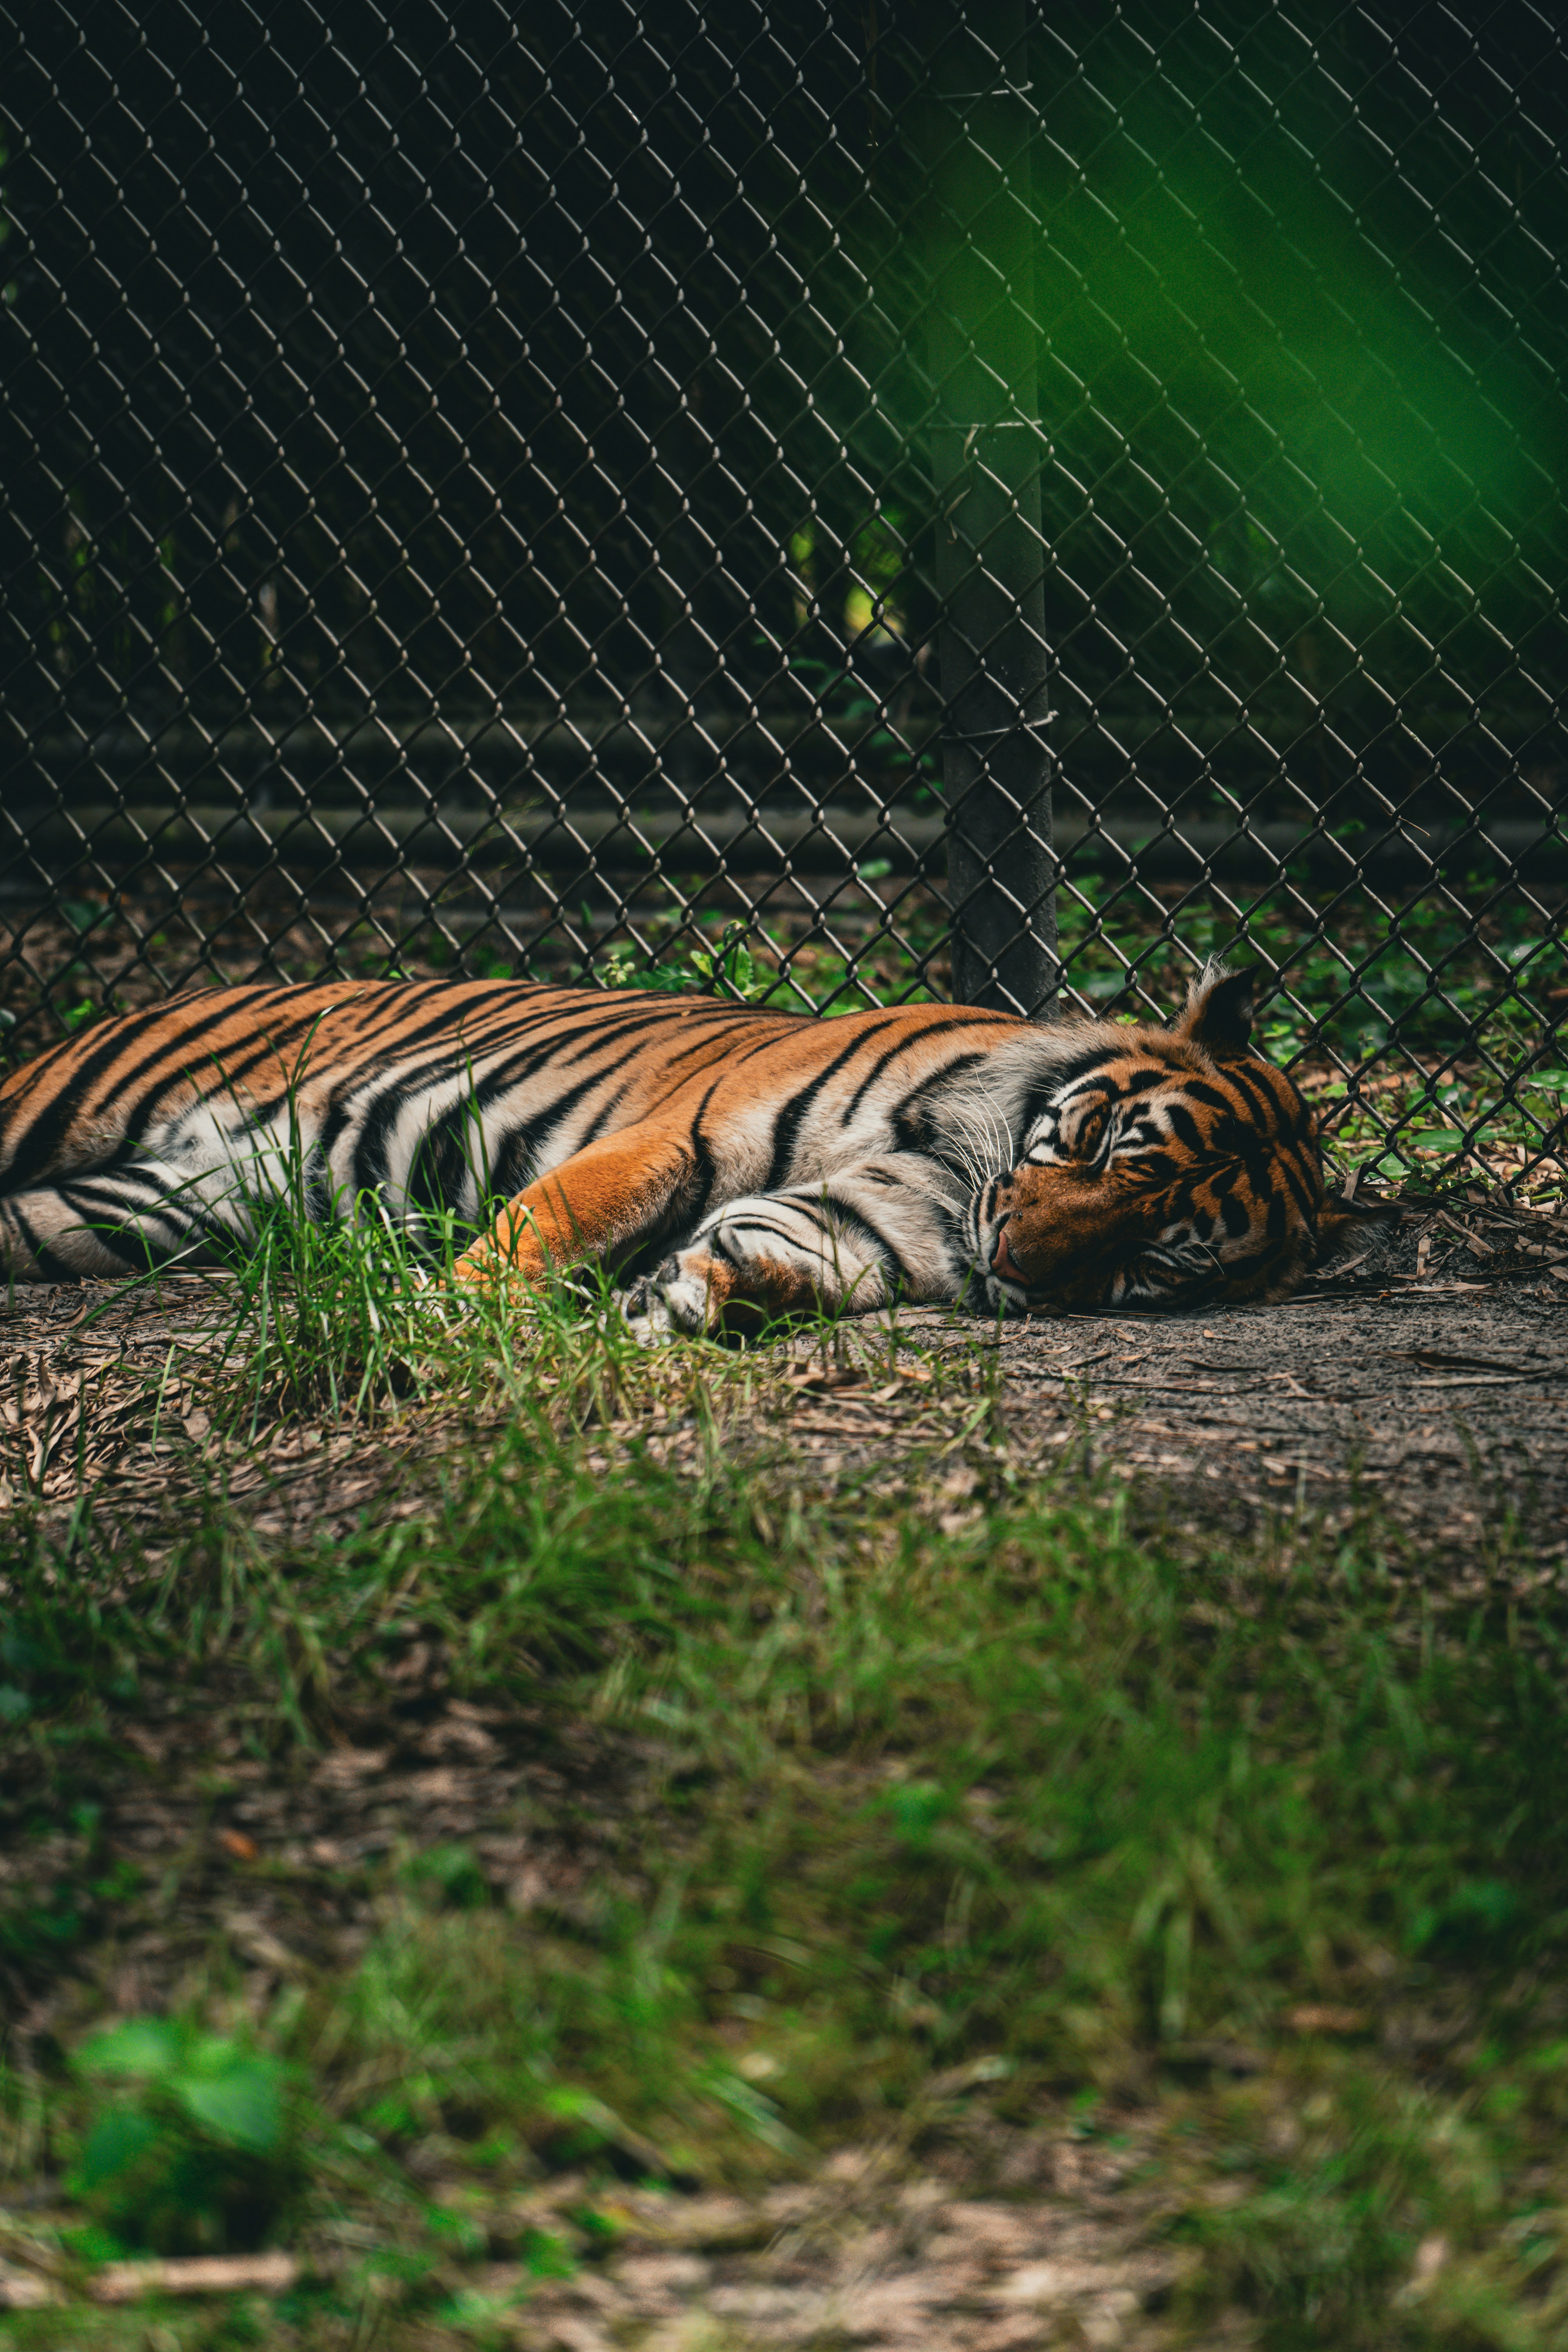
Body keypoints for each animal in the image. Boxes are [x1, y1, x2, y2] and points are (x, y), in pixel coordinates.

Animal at [0, 958, 1378, 1326]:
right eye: (1094, 1145)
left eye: (1158, 1258)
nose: (1019, 1270)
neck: (958, 1169)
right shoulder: (677, 1138)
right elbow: (544, 1229)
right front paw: (449, 1320)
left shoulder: (882, 1219)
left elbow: (790, 1246)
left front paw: (714, 1291)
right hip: (53, 1110)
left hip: (127, 1210)